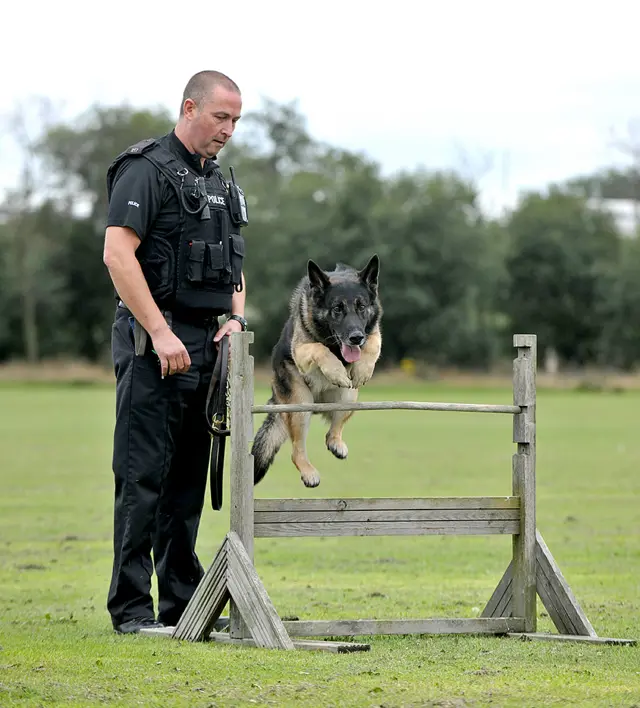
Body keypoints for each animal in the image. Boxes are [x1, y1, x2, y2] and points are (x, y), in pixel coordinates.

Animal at [250, 252, 380, 490]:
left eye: (361, 306)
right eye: (337, 308)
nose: (356, 337)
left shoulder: (373, 332)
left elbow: (374, 343)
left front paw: (362, 369)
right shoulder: (302, 350)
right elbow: (319, 348)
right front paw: (336, 370)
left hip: (349, 396)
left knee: (333, 430)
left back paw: (336, 443)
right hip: (300, 405)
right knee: (296, 450)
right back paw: (309, 473)